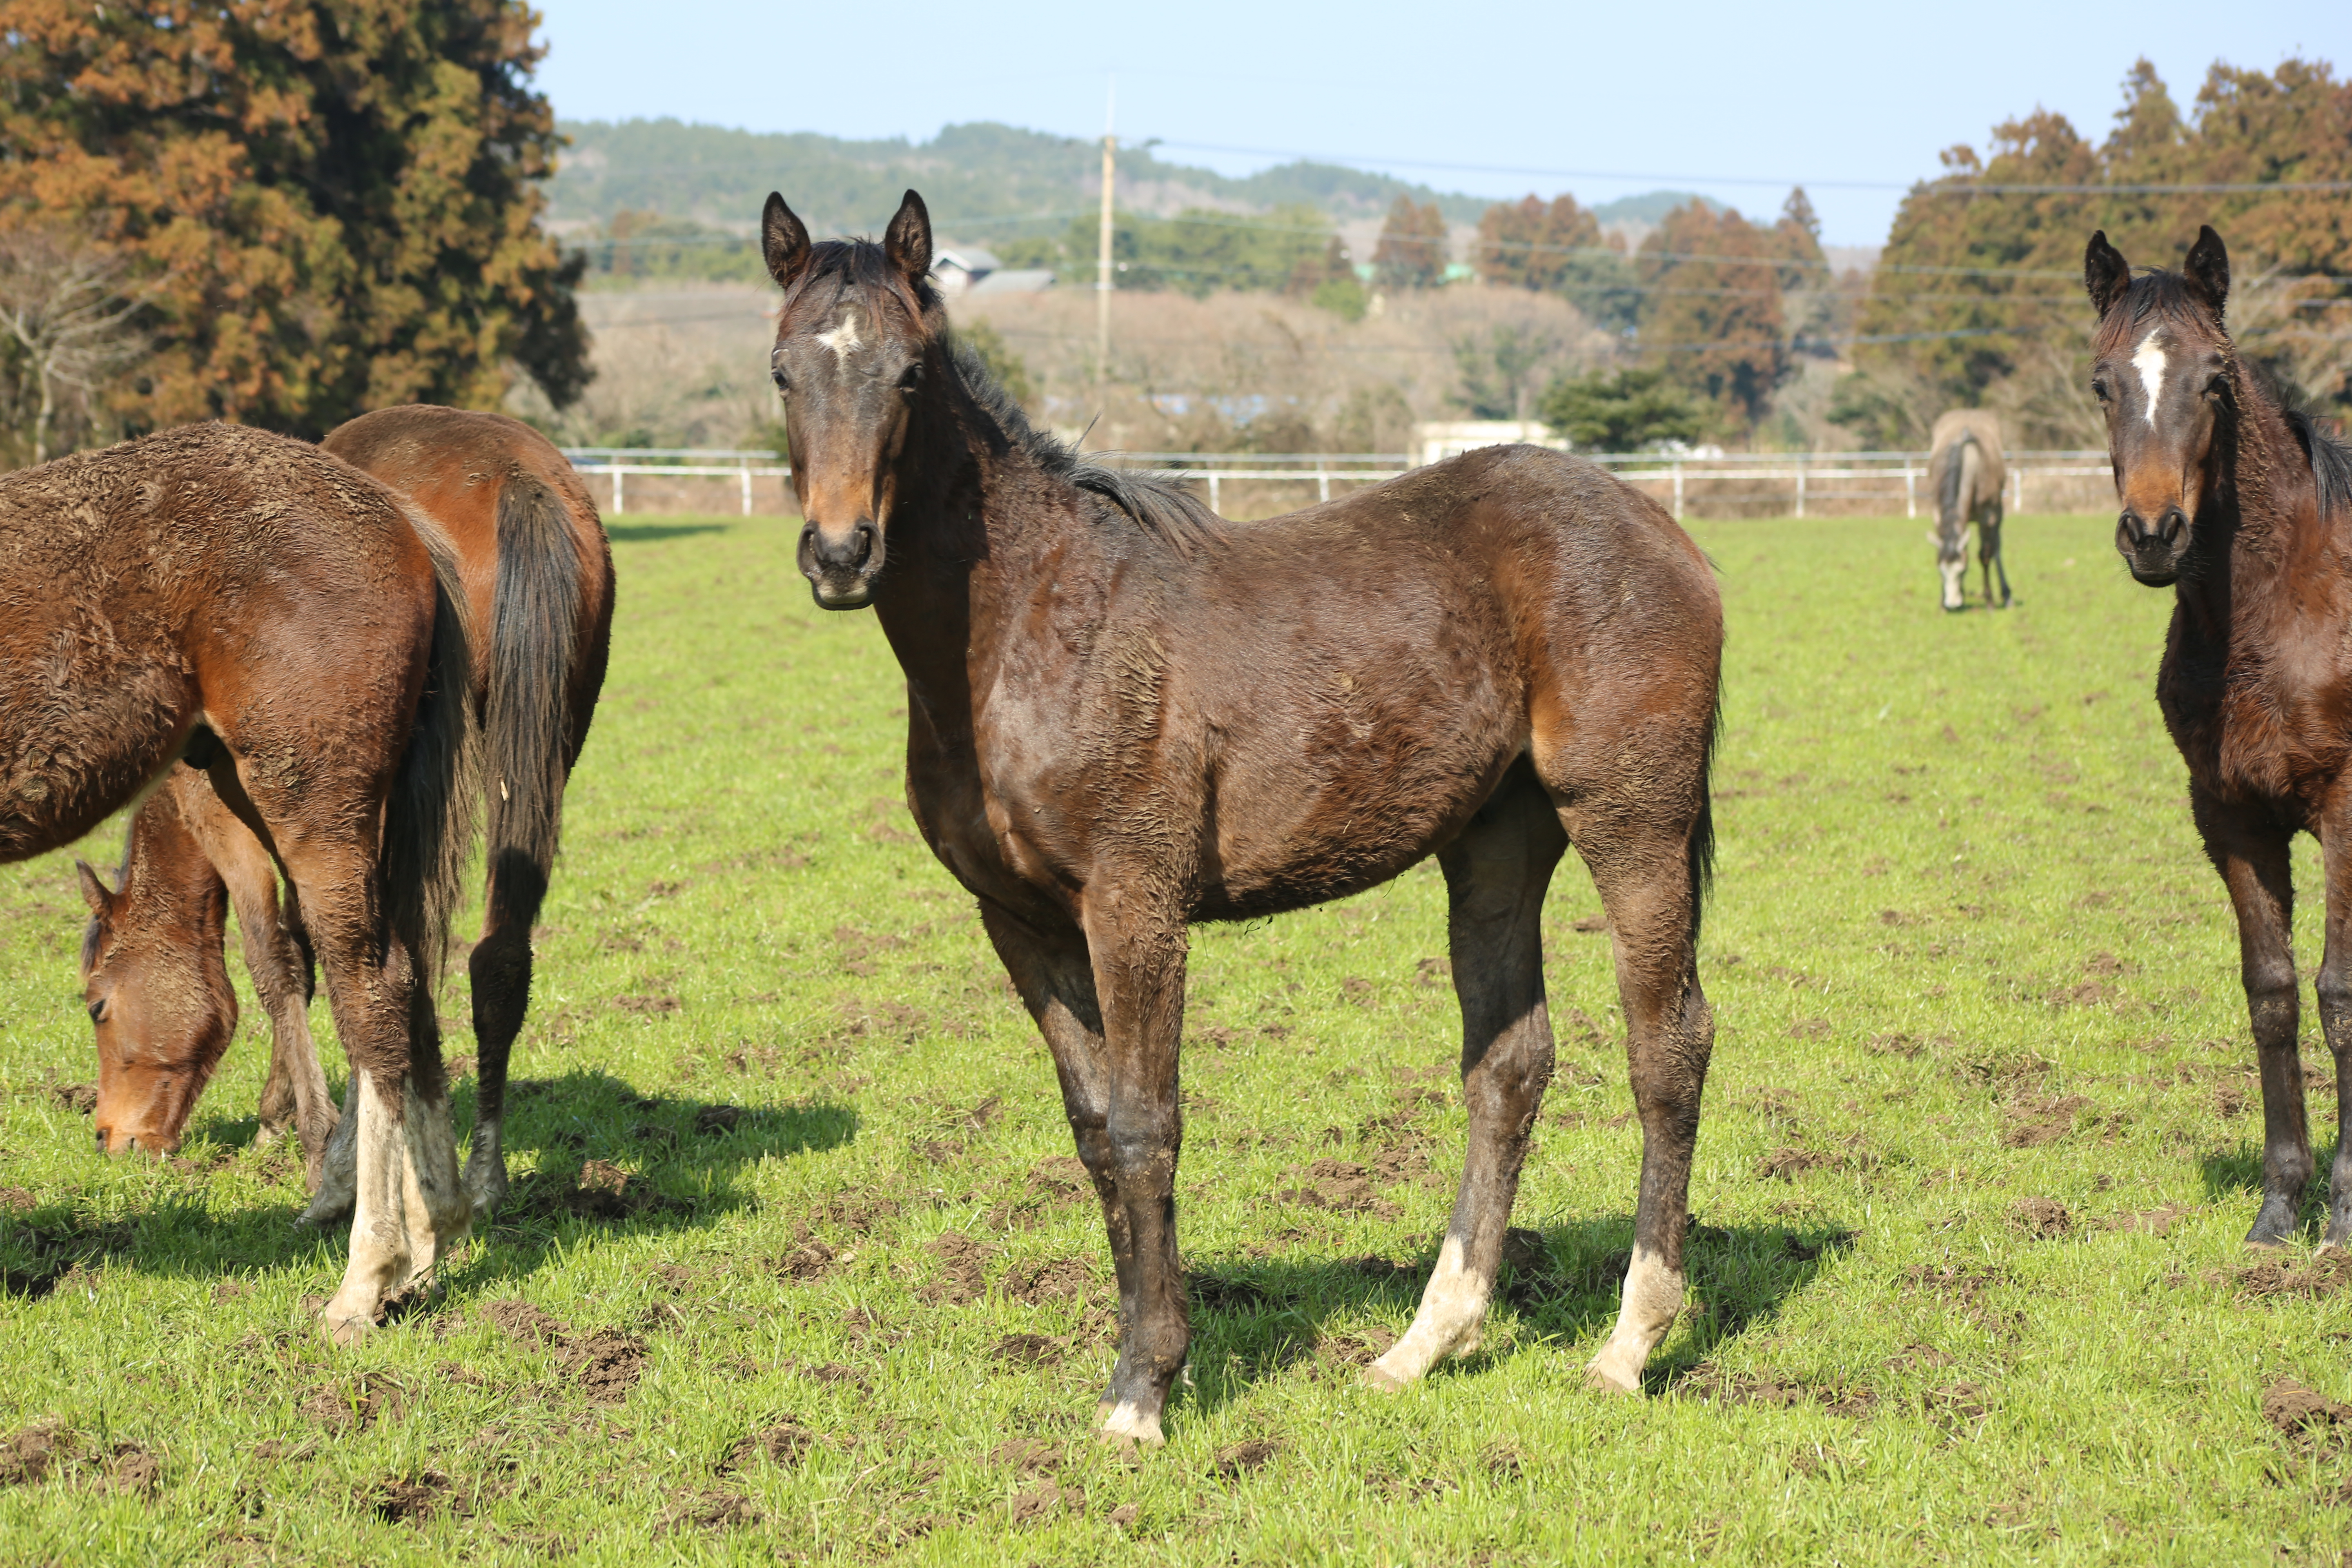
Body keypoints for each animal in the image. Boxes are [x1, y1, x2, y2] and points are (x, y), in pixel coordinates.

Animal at [0, 423, 477, 1345]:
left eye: (97, 1006)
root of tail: (391, 512)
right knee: (411, 982)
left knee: (373, 998)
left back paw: (367, 1276)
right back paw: (430, 1240)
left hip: (310, 805)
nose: (112, 1139)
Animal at [78, 404, 616, 1222]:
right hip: (538, 754)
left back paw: (356, 1169)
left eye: (98, 1006)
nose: (113, 1138)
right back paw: (482, 1174)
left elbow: (278, 959)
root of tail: (513, 477)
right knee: (492, 960)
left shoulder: (232, 813)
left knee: (390, 968)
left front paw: (297, 1130)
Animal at [762, 190, 1722, 1439]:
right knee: (1508, 1064)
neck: (1026, 624)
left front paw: (1145, 1390)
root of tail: (1667, 535)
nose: (839, 553)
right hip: (1496, 842)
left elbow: (1145, 1124)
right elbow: (1093, 1132)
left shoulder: (1135, 905)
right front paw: (1136, 1359)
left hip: (1632, 825)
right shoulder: (1020, 923)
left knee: (1668, 1047)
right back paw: (1422, 1344)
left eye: (911, 373)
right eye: (783, 371)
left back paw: (1627, 1344)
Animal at [1919, 409, 2013, 611]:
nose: (1952, 604)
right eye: (1941, 571)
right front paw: (1943, 601)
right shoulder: (1939, 514)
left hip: (1997, 515)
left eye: (1963, 571)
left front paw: (1990, 602)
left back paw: (2007, 595)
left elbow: (1985, 555)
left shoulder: (1989, 517)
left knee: (1997, 548)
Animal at [2088, 223, 2352, 1250]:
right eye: (2101, 382)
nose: (2153, 533)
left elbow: (2337, 995)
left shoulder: (2344, 810)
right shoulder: (2231, 818)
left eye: (2214, 379)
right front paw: (2280, 1208)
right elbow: (2270, 992)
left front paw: (2342, 1213)